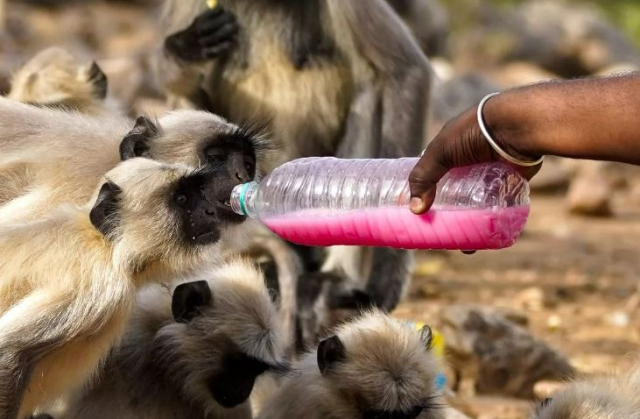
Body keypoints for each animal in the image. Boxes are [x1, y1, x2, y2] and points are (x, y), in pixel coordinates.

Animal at [0, 158, 240, 419]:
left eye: (198, 193)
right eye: (182, 199)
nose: (210, 211)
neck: (107, 245)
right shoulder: (98, 283)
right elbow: (8, 351)